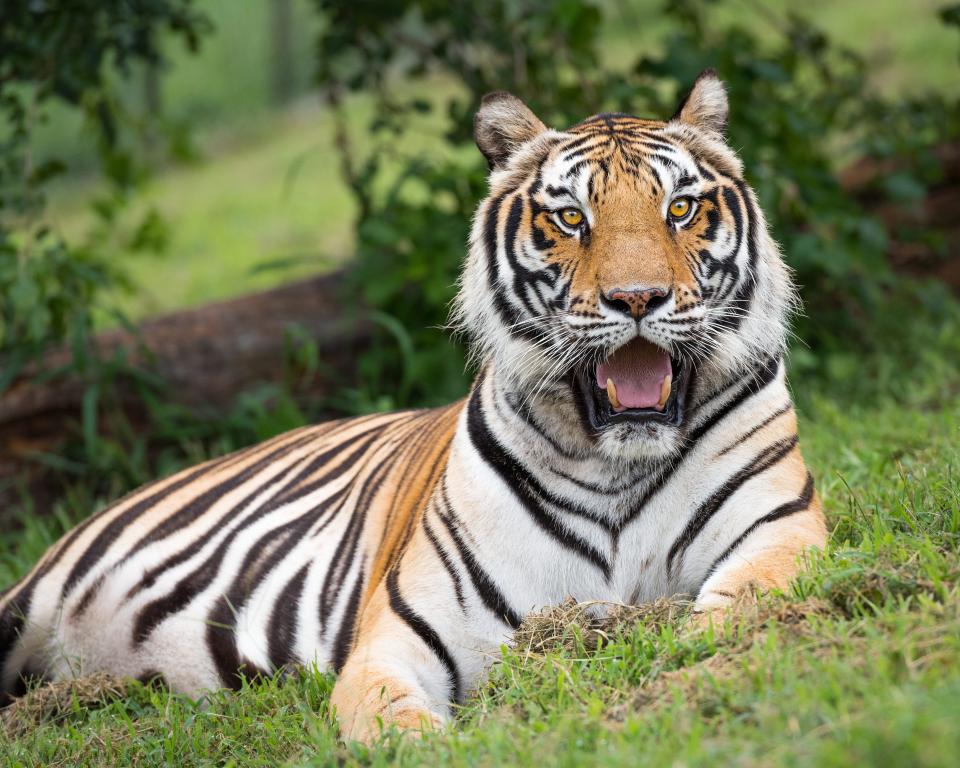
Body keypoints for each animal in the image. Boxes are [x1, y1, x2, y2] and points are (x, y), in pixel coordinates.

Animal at [0, 73, 824, 744]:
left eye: (680, 209)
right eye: (571, 220)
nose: (637, 299)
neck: (617, 459)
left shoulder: (778, 530)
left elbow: (735, 614)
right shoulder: (400, 635)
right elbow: (393, 721)